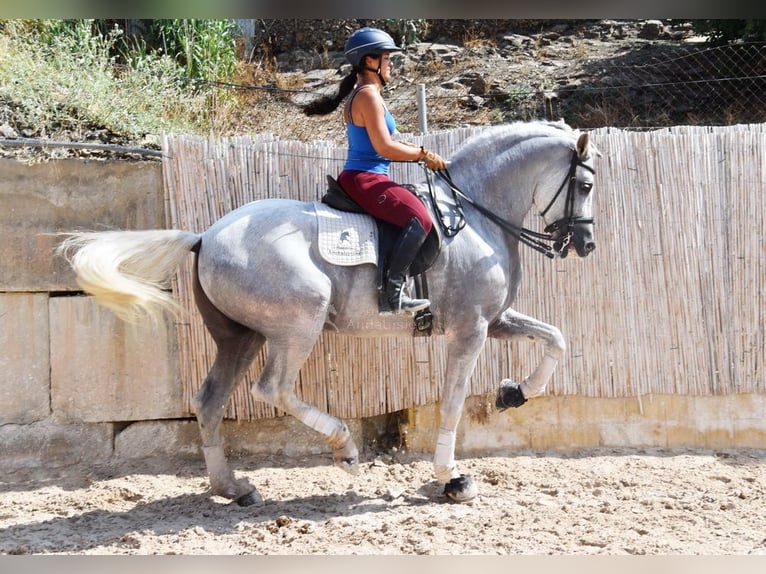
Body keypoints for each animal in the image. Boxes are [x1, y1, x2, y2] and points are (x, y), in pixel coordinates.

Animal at [58, 119, 600, 506]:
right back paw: (344, 447)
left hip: (242, 336)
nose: (586, 245)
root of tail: (205, 237)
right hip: (298, 324)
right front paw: (452, 478)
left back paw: (234, 488)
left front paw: (515, 393)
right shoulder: (470, 329)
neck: (475, 215)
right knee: (271, 389)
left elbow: (556, 337)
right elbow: (452, 403)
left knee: (210, 400)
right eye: (587, 186)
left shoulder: (496, 320)